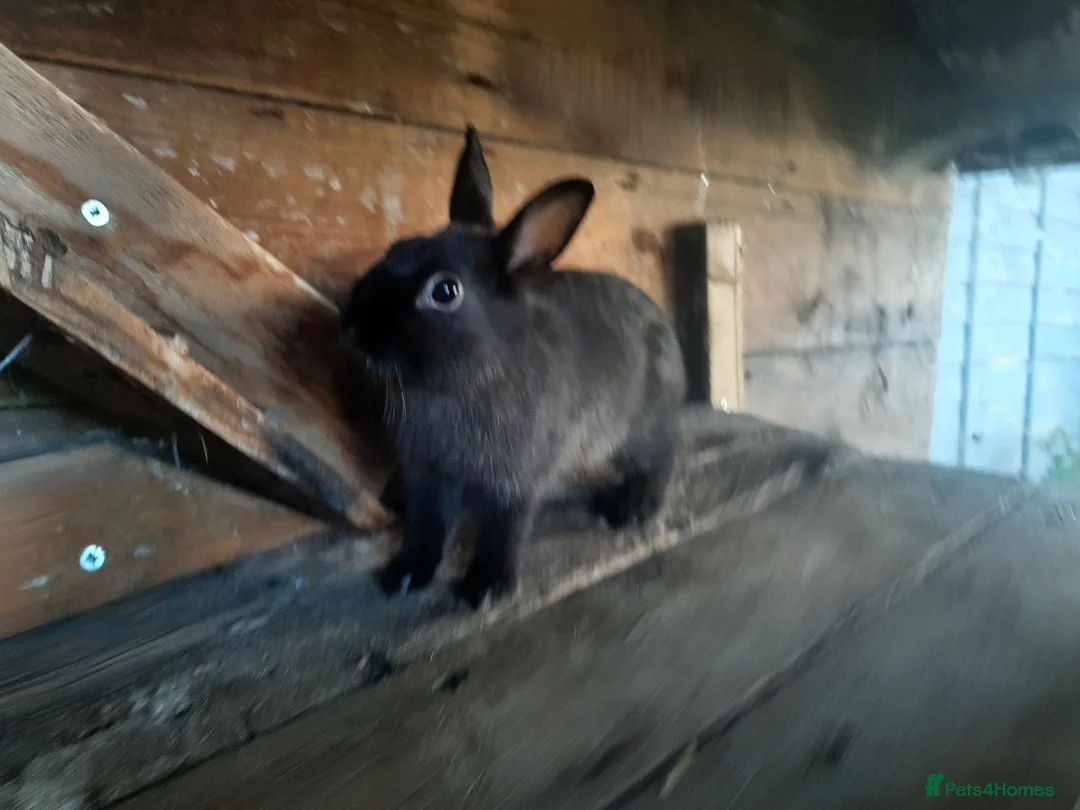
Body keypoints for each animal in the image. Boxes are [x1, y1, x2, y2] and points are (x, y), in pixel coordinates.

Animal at [340, 125, 686, 608]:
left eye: (444, 291)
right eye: (395, 250)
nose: (351, 323)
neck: (466, 379)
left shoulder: (514, 479)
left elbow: (502, 530)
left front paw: (486, 588)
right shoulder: (427, 474)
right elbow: (427, 527)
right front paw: (406, 574)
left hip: (640, 430)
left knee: (662, 456)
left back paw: (633, 508)